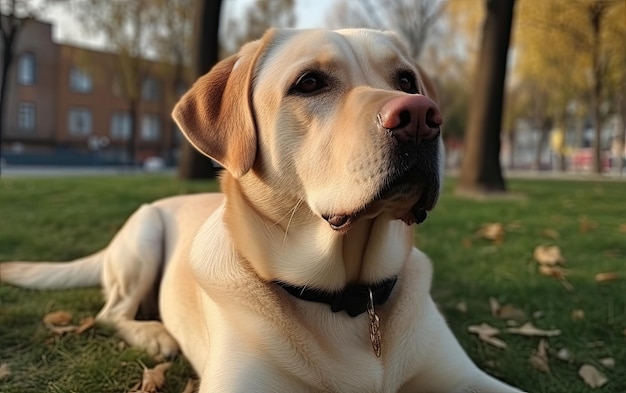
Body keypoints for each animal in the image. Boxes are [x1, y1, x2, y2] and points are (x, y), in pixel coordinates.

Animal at [1, 29, 520, 390]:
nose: (420, 116)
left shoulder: (465, 377)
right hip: (144, 234)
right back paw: (154, 333)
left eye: (406, 79)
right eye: (309, 83)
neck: (349, 299)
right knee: (110, 312)